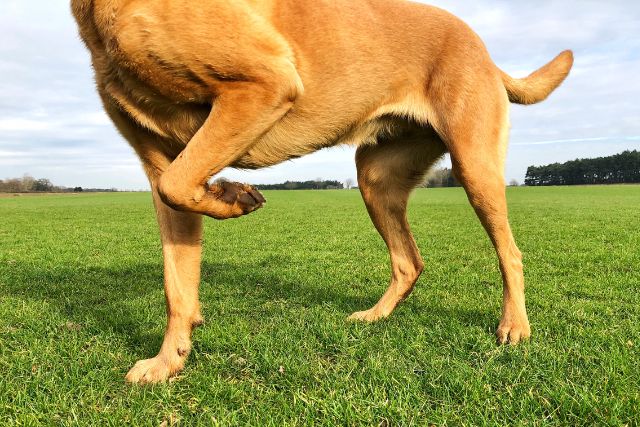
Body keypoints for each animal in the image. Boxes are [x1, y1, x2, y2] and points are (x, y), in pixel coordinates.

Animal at [72, 0, 572, 384]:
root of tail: (485, 52)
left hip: (474, 165)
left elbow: (180, 187)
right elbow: (177, 281)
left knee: (510, 252)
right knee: (409, 261)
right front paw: (168, 361)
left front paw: (234, 196)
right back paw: (375, 316)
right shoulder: (159, 161)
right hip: (376, 179)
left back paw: (514, 325)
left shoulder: (265, 83)